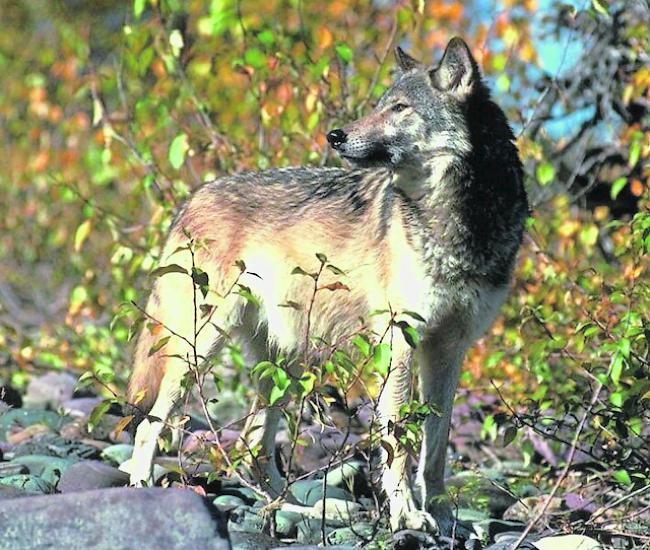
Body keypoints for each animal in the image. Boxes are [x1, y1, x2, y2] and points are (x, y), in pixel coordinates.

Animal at [121, 36, 528, 536]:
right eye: (379, 106)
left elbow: (435, 448)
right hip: (200, 347)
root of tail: (191, 198)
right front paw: (407, 514)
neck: (457, 218)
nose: (335, 135)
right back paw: (143, 487)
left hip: (284, 362)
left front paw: (445, 516)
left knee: (255, 450)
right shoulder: (400, 339)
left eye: (399, 108)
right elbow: (398, 442)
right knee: (151, 424)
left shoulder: (449, 347)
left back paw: (300, 510)